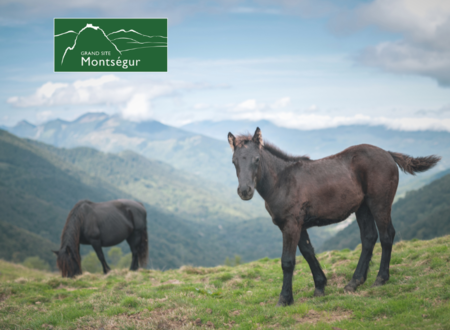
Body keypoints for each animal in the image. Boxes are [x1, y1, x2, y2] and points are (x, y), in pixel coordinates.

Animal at [229, 127, 440, 306]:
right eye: (234, 161)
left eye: (257, 159)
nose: (245, 191)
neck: (282, 180)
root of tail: (388, 154)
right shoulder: (299, 225)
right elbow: (308, 253)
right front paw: (320, 287)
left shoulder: (290, 225)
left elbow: (288, 261)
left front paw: (284, 299)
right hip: (362, 208)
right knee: (369, 238)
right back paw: (354, 282)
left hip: (379, 204)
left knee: (387, 236)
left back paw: (380, 279)